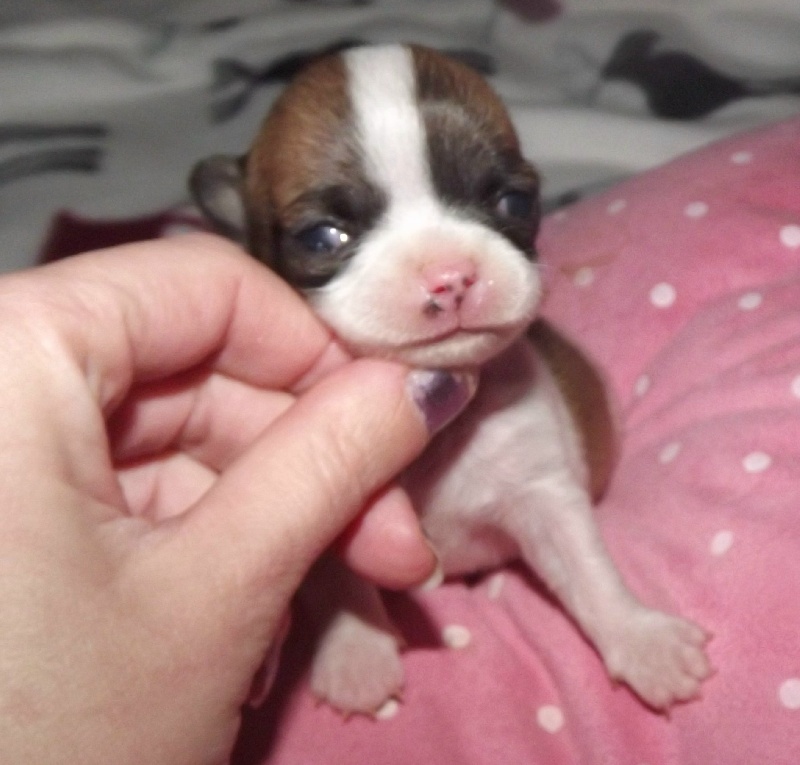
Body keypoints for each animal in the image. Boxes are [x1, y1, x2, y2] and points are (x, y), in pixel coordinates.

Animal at [190, 43, 712, 716]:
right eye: (323, 237)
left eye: (513, 203)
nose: (449, 275)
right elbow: (339, 580)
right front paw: (356, 651)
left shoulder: (544, 494)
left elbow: (588, 570)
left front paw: (642, 639)